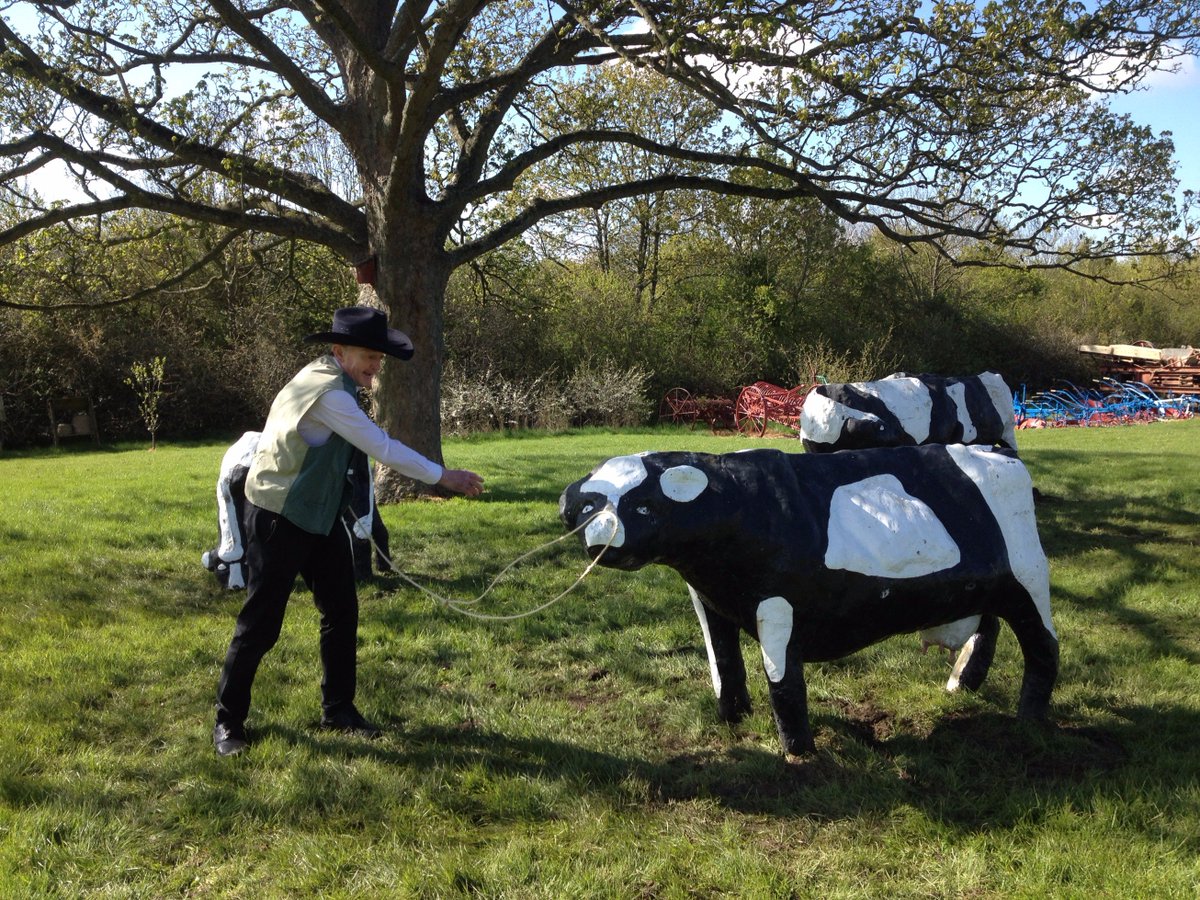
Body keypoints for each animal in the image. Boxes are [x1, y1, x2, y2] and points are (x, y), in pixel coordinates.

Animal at [559, 445, 1057, 756]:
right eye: (588, 508)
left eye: (644, 507)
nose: (601, 542)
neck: (736, 505)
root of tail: (1001, 456)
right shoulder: (708, 599)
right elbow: (723, 663)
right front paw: (732, 719)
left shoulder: (779, 605)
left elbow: (782, 681)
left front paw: (799, 752)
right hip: (984, 587)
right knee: (987, 628)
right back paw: (960, 685)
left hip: (1028, 578)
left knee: (1043, 647)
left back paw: (1029, 719)